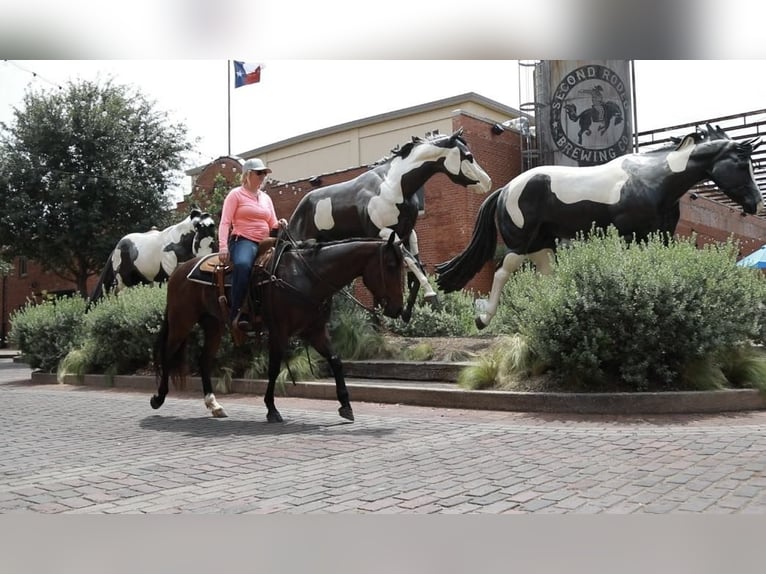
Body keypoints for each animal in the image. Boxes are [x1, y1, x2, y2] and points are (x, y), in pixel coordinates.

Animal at [88, 207, 218, 306]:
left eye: (212, 224)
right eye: (198, 225)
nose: (210, 231)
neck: (179, 242)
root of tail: (116, 248)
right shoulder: (169, 268)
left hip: (141, 279)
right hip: (123, 279)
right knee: (118, 293)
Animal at [153, 236, 412, 426]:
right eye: (390, 266)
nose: (397, 308)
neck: (307, 276)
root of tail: (178, 272)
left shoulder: (315, 331)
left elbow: (336, 361)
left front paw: (346, 406)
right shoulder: (279, 331)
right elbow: (274, 368)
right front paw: (272, 409)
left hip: (213, 325)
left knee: (204, 360)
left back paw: (214, 405)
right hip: (181, 322)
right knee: (167, 354)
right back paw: (158, 397)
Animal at [286, 128, 492, 324]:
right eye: (468, 156)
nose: (487, 182)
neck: (394, 185)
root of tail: (296, 215)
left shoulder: (407, 233)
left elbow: (415, 267)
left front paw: (406, 313)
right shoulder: (383, 233)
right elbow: (412, 263)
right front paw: (431, 297)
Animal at [436, 124, 764, 330]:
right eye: (740, 161)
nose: (756, 204)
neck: (653, 180)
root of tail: (504, 190)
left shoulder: (661, 235)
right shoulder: (630, 235)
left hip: (543, 244)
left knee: (546, 275)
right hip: (521, 243)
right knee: (503, 271)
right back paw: (483, 320)